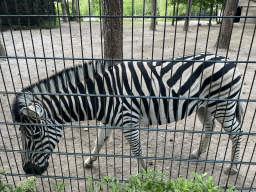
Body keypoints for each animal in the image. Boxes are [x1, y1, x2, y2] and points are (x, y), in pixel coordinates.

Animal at [12, 53, 244, 176]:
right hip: (204, 106)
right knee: (209, 126)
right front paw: (89, 161)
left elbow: (137, 150)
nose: (27, 170)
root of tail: (228, 59)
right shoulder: (108, 121)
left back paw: (233, 167)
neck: (102, 96)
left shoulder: (129, 121)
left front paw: (144, 175)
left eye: (34, 135)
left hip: (223, 104)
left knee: (238, 132)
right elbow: (99, 141)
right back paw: (196, 153)